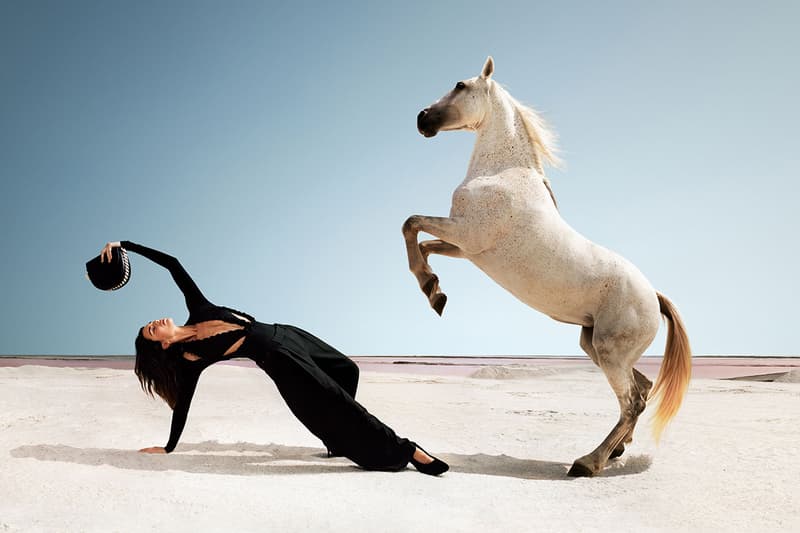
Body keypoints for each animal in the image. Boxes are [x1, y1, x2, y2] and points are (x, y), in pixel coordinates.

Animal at [404, 56, 691, 477]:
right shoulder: (466, 248)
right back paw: (618, 451)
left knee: (632, 402)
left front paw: (431, 288)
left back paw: (588, 462)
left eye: (459, 85)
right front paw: (435, 292)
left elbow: (411, 224)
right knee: (642, 387)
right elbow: (423, 243)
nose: (423, 119)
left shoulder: (466, 234)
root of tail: (654, 297)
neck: (502, 174)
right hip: (594, 344)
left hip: (609, 352)